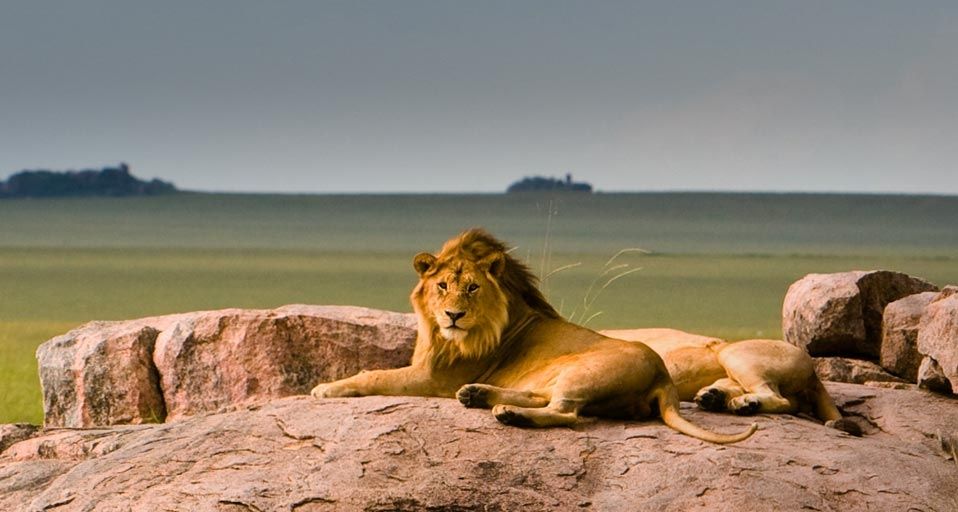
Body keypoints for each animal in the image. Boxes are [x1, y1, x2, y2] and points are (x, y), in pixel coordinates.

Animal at [314, 228, 756, 444]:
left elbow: (374, 374)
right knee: (543, 397)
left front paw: (325, 388)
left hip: (584, 371)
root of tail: (664, 378)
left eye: (472, 288)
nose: (454, 315)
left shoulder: (433, 378)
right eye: (442, 286)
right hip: (562, 373)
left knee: (566, 412)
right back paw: (479, 395)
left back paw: (509, 414)